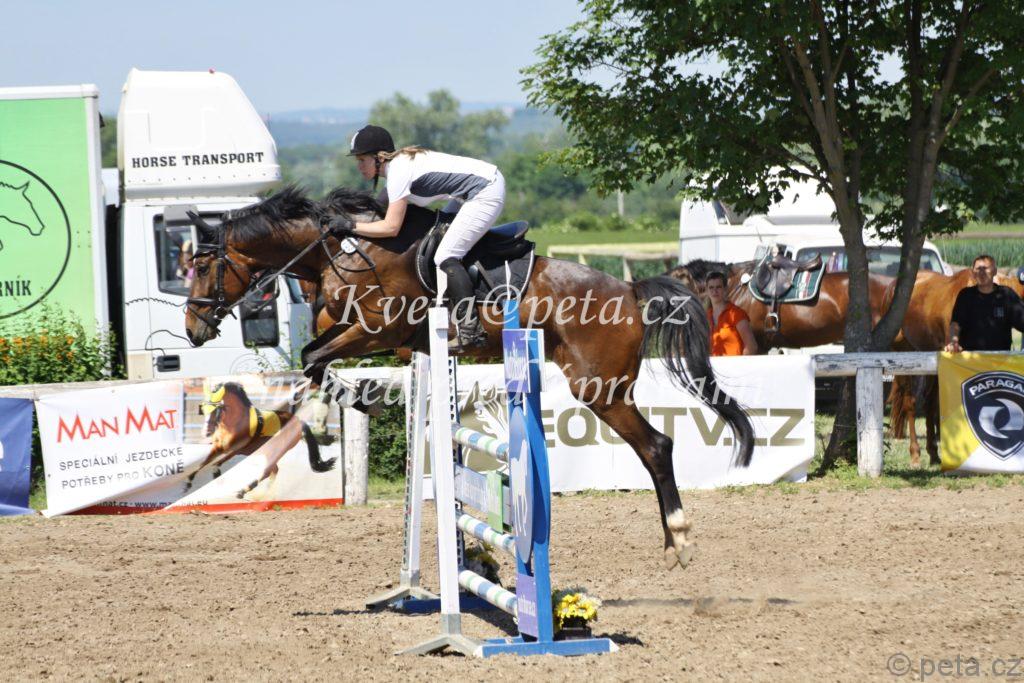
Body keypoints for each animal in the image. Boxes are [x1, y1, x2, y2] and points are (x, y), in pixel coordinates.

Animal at [186, 381, 336, 498]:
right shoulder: (219, 447)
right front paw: (188, 483)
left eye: (216, 408)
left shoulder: (234, 449)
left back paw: (244, 491)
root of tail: (299, 422)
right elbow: (204, 462)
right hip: (268, 452)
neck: (234, 422)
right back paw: (263, 494)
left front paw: (216, 474)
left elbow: (216, 463)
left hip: (276, 450)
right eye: (203, 409)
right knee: (273, 471)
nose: (206, 432)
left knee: (268, 471)